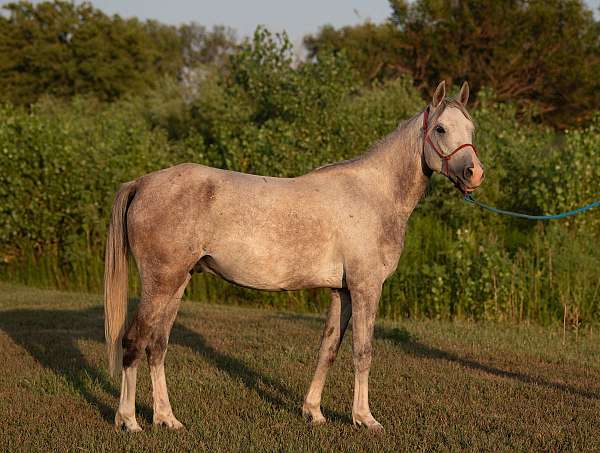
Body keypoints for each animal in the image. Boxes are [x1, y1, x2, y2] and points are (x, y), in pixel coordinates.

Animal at [105, 80, 482, 430]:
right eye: (440, 128)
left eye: (471, 129)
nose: (474, 173)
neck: (374, 194)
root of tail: (142, 183)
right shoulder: (366, 287)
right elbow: (363, 352)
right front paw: (365, 418)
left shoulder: (342, 291)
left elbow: (328, 349)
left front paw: (313, 412)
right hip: (160, 283)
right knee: (134, 341)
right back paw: (129, 420)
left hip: (178, 282)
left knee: (157, 345)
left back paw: (167, 419)